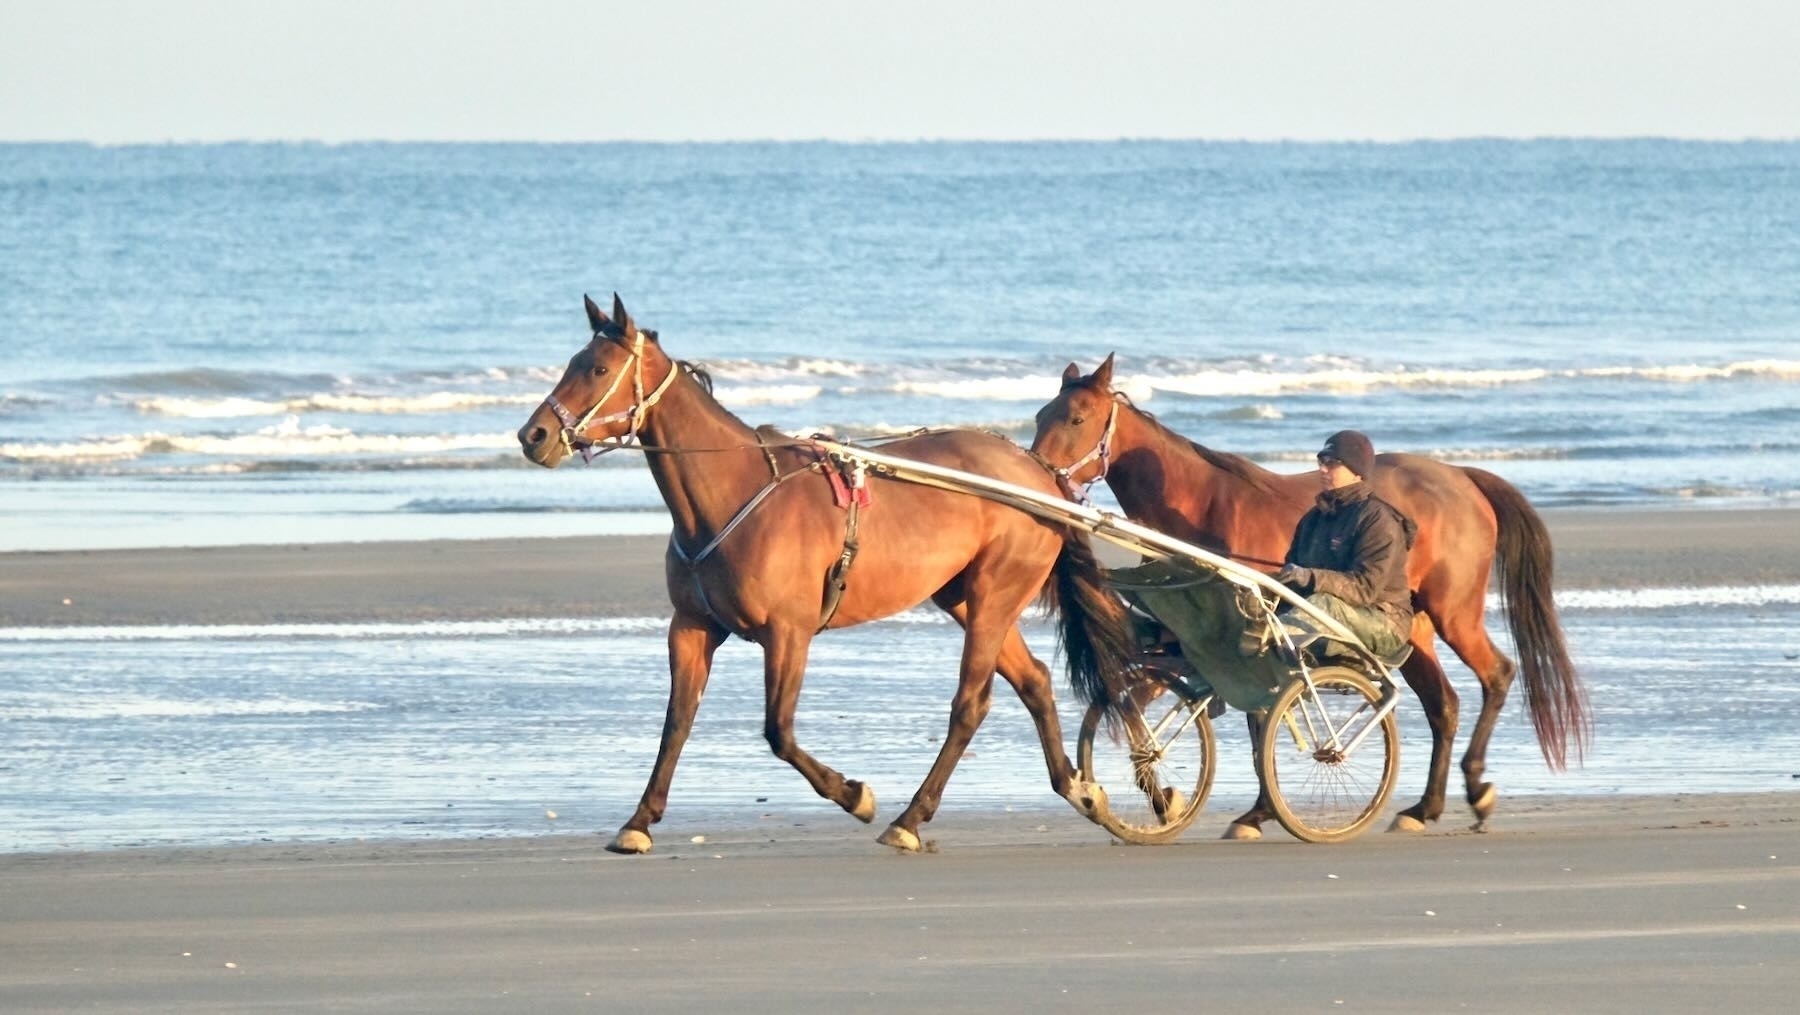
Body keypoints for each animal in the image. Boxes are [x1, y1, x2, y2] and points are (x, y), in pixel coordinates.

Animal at [522, 295, 1137, 856]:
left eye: (597, 369)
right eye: (573, 361)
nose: (533, 435)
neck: (732, 492)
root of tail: (1040, 472)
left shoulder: (788, 631)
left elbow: (779, 731)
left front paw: (854, 794)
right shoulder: (692, 626)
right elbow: (677, 721)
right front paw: (639, 820)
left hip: (996, 593)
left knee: (971, 703)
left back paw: (910, 819)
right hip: (963, 597)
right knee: (1033, 680)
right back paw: (1078, 789)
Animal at [1029, 352, 1591, 835]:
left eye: (1076, 418)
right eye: (1040, 414)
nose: (1037, 470)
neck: (1203, 506)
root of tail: (1463, 478)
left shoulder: (1249, 639)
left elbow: (1257, 722)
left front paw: (1252, 812)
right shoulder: (1193, 648)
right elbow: (1143, 707)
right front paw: (1161, 795)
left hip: (1453, 612)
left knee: (1495, 675)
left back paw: (1475, 787)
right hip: (1412, 630)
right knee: (1443, 704)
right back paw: (1424, 807)